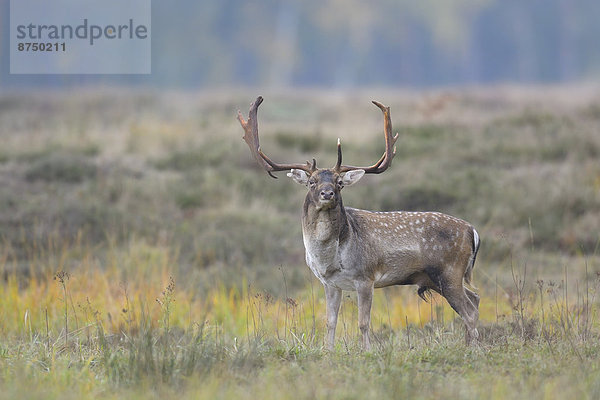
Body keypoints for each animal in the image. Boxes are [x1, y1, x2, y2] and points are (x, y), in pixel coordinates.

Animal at [237, 95, 480, 348]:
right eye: (312, 182)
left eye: (339, 183)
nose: (327, 193)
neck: (329, 258)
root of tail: (472, 231)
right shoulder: (329, 283)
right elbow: (330, 322)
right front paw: (329, 351)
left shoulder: (366, 277)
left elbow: (363, 323)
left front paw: (367, 351)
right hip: (436, 278)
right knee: (475, 299)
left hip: (449, 271)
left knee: (470, 311)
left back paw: (473, 349)